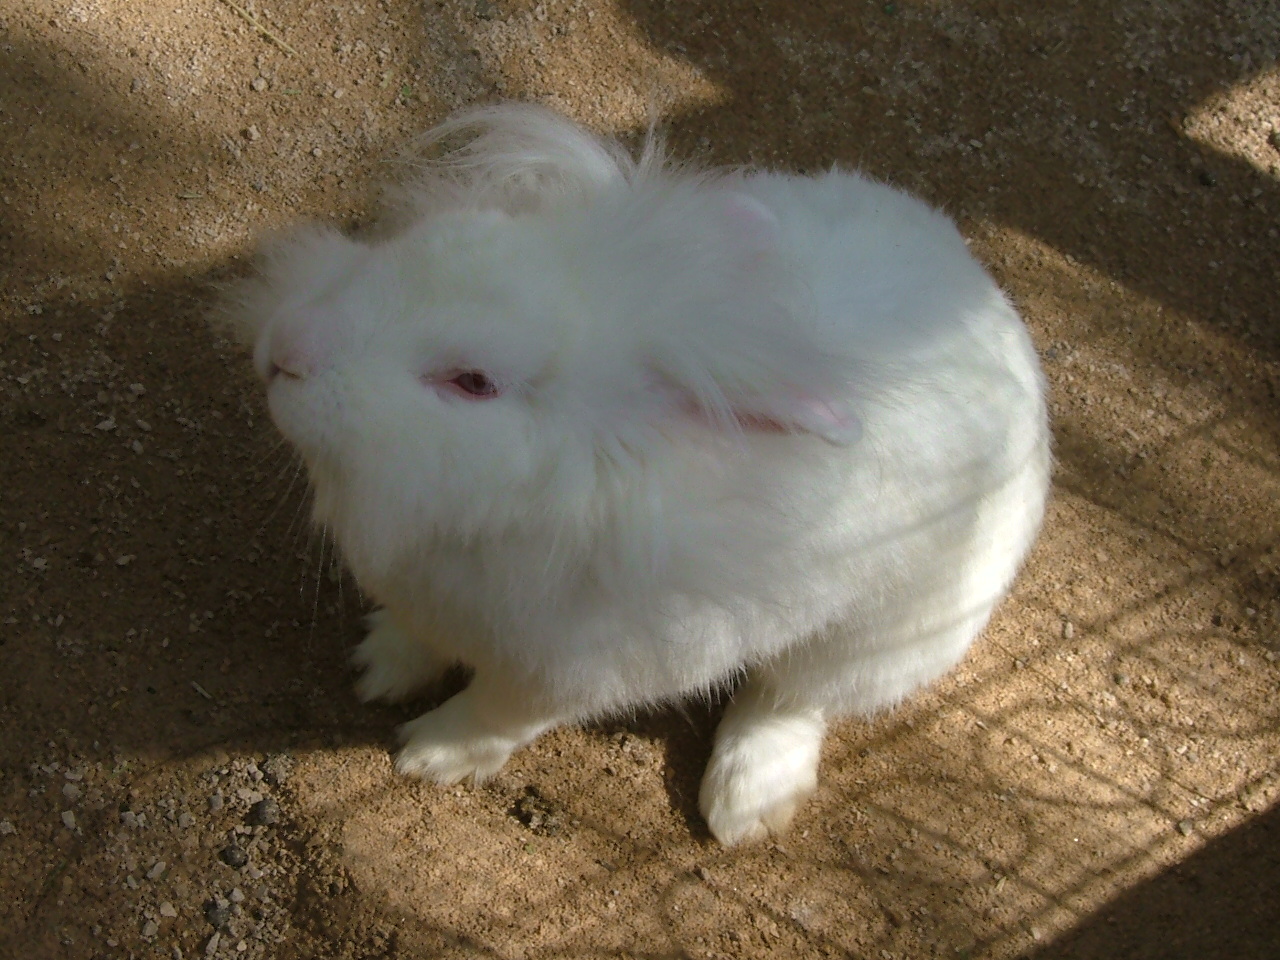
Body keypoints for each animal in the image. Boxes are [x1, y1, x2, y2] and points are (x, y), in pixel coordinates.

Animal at [223, 103, 1051, 846]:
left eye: (473, 382)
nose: (283, 350)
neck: (564, 479)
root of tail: (981, 288)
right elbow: (417, 637)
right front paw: (378, 666)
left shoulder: (567, 673)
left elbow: (496, 717)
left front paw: (429, 755)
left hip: (887, 640)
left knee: (793, 699)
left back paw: (746, 806)